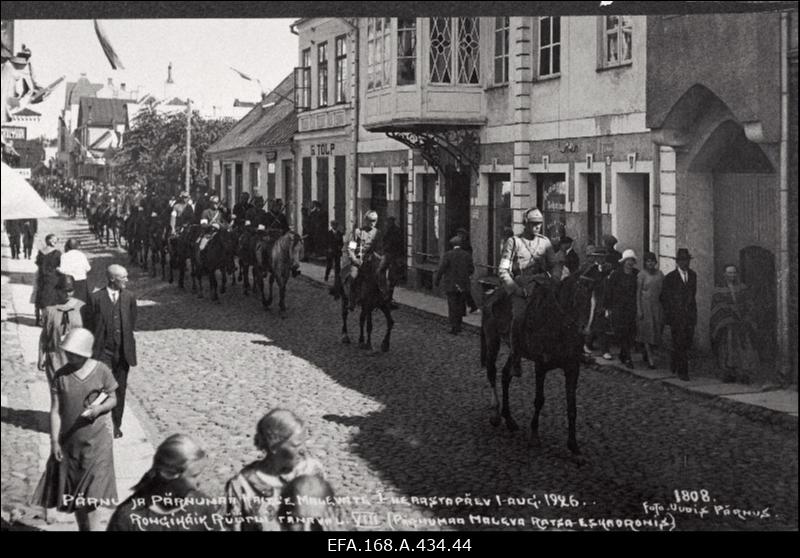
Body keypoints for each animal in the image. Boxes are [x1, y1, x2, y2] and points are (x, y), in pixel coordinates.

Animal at [482, 274, 592, 458]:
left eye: (590, 300)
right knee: (492, 372)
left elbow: (572, 408)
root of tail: (492, 295)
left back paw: (509, 419)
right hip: (493, 339)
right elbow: (539, 400)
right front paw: (534, 436)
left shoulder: (572, 368)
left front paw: (574, 447)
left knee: (506, 375)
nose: (584, 331)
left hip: (515, 351)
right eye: (575, 298)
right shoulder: (541, 366)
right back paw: (496, 414)